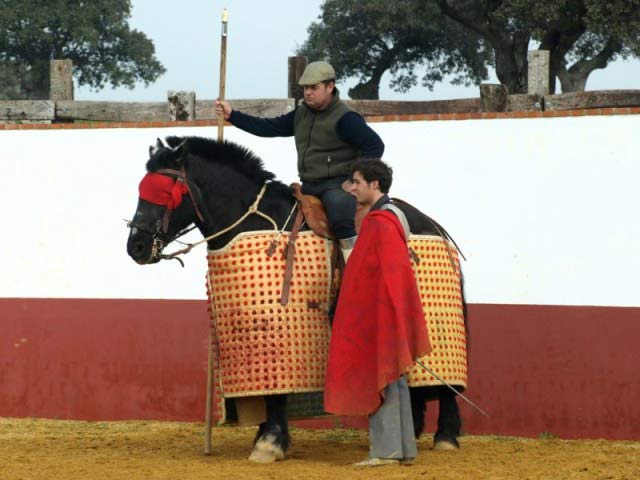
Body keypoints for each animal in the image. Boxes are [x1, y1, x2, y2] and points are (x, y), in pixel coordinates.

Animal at [126, 135, 464, 462]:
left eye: (164, 191)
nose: (136, 247)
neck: (253, 221)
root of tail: (435, 227)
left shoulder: (277, 331)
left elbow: (276, 393)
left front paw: (269, 444)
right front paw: (265, 437)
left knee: (446, 385)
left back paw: (445, 437)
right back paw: (413, 435)